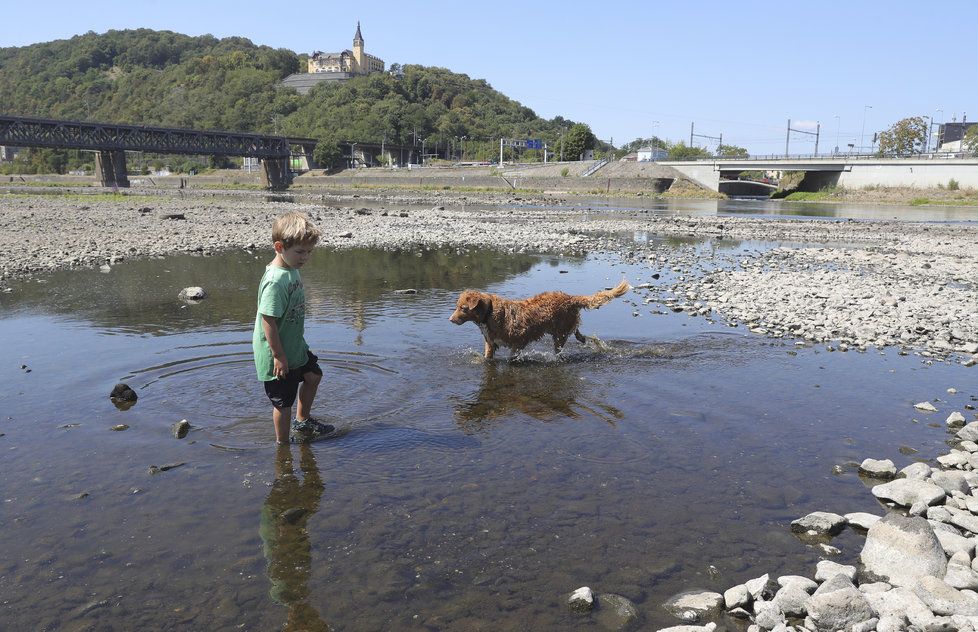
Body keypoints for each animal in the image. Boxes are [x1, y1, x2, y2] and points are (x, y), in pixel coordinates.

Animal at [448, 278, 628, 358]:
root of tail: (570, 298)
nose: (450, 319)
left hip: (560, 334)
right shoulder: (490, 343)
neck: (489, 314)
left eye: (463, 308)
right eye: (457, 306)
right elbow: (487, 357)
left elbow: (512, 356)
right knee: (579, 334)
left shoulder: (519, 341)